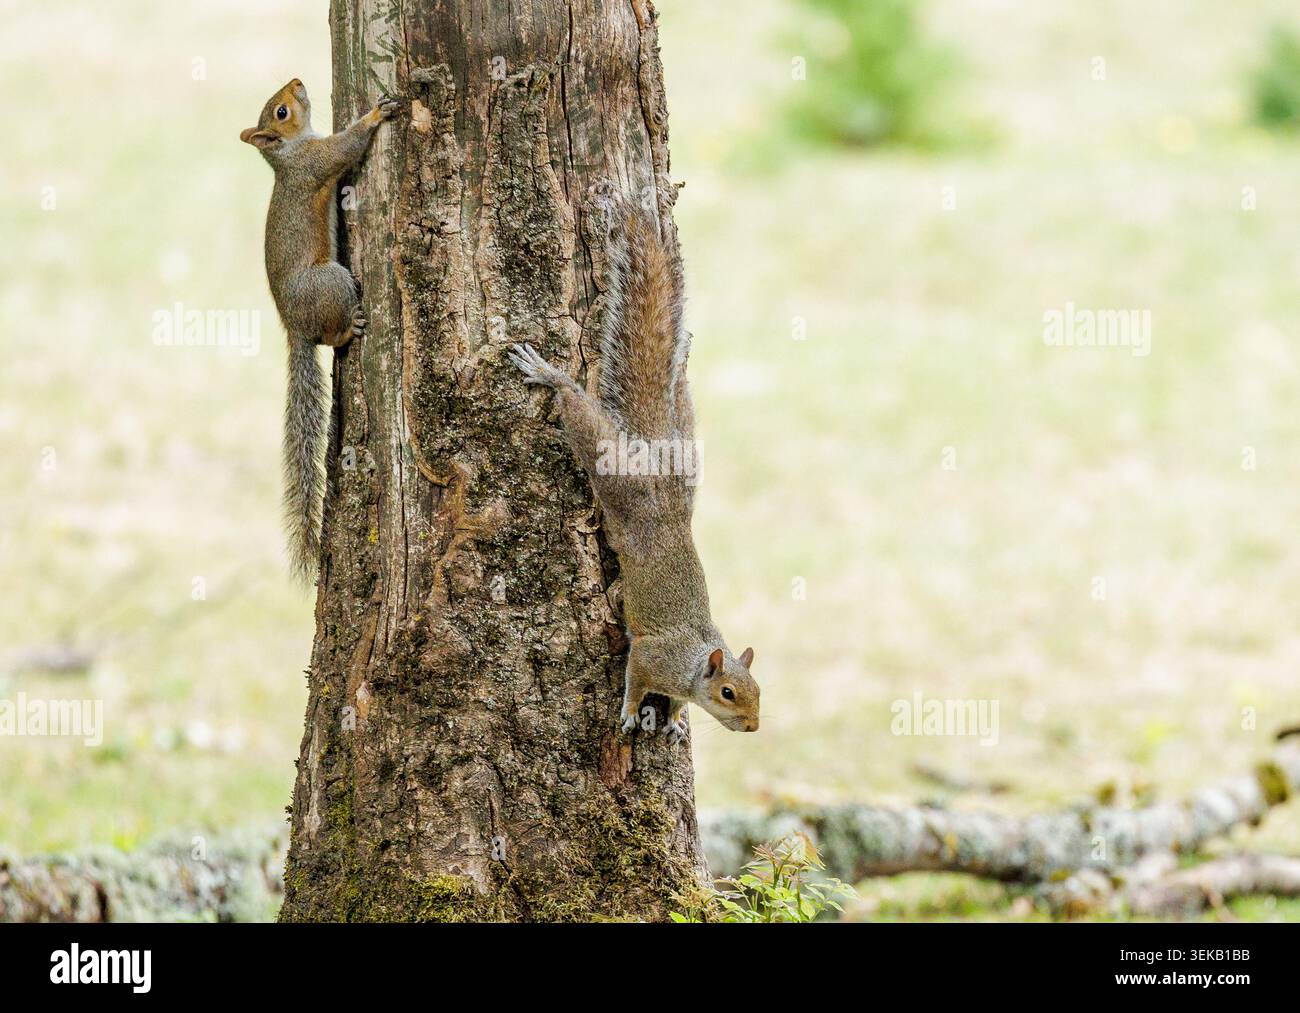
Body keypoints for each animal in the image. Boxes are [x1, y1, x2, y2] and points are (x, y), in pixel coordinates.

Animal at [240, 79, 398, 580]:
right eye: (282, 111)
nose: (296, 81)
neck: (289, 152)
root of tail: (295, 326)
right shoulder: (317, 161)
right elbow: (345, 147)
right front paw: (375, 115)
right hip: (332, 281)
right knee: (332, 335)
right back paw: (351, 328)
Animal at [509, 204, 759, 744]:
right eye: (729, 692)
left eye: (759, 690)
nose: (752, 727)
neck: (692, 667)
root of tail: (664, 494)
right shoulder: (650, 655)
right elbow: (635, 680)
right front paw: (628, 712)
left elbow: (676, 704)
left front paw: (679, 720)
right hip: (622, 481)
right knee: (581, 417)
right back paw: (550, 375)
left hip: (685, 446)